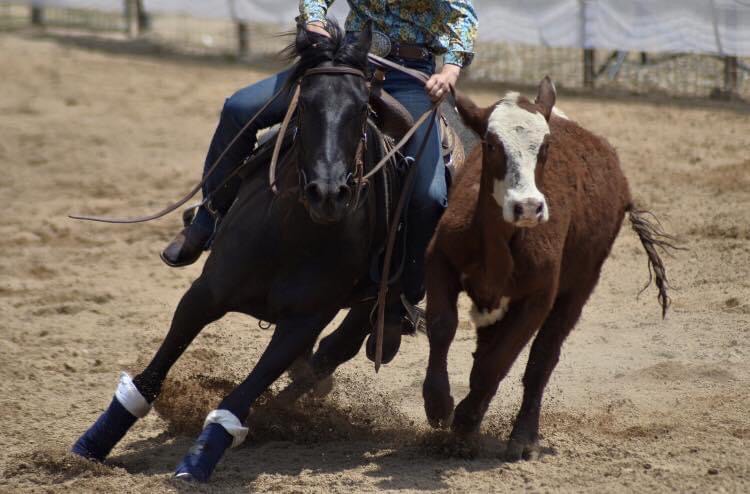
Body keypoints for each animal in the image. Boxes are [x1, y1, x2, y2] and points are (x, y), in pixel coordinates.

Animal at [71, 21, 430, 482]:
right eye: (305, 104)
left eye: (361, 107)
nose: (328, 194)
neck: (292, 234)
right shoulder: (205, 293)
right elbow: (152, 374)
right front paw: (92, 444)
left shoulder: (303, 322)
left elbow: (244, 394)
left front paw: (199, 460)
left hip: (374, 301)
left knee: (333, 352)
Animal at [421, 77, 679, 461]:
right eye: (491, 144)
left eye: (544, 147)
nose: (527, 206)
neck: (499, 244)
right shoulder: (440, 260)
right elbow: (442, 327)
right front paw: (439, 404)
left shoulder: (539, 296)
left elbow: (501, 361)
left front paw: (465, 421)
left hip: (581, 286)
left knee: (542, 358)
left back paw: (523, 437)